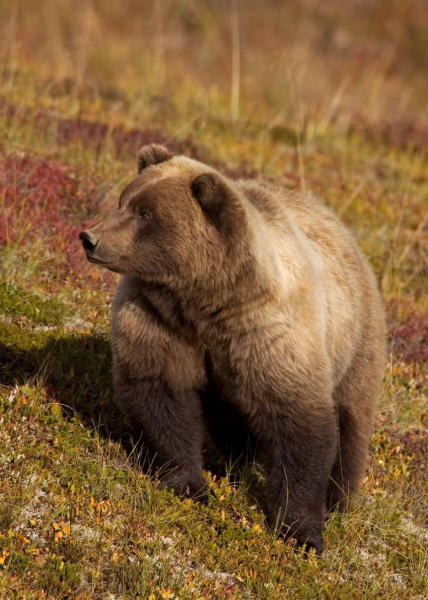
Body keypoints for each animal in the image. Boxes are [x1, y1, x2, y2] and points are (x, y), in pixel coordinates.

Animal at [78, 143, 386, 556]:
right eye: (124, 201)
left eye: (145, 213)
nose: (89, 237)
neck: (205, 302)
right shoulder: (159, 319)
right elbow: (160, 393)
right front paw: (188, 485)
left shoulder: (268, 335)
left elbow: (301, 425)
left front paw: (302, 532)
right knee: (231, 417)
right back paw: (236, 463)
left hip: (355, 340)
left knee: (351, 422)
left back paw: (338, 500)